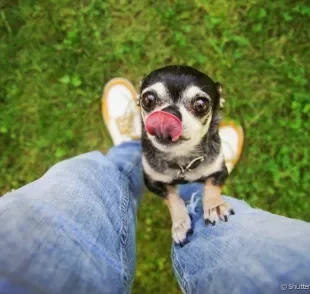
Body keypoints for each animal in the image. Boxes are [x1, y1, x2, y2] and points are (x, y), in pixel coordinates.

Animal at [137, 65, 234, 245]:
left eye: (201, 105)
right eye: (148, 100)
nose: (169, 112)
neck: (182, 161)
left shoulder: (220, 171)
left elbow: (211, 185)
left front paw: (214, 206)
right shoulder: (152, 182)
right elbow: (172, 198)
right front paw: (180, 224)